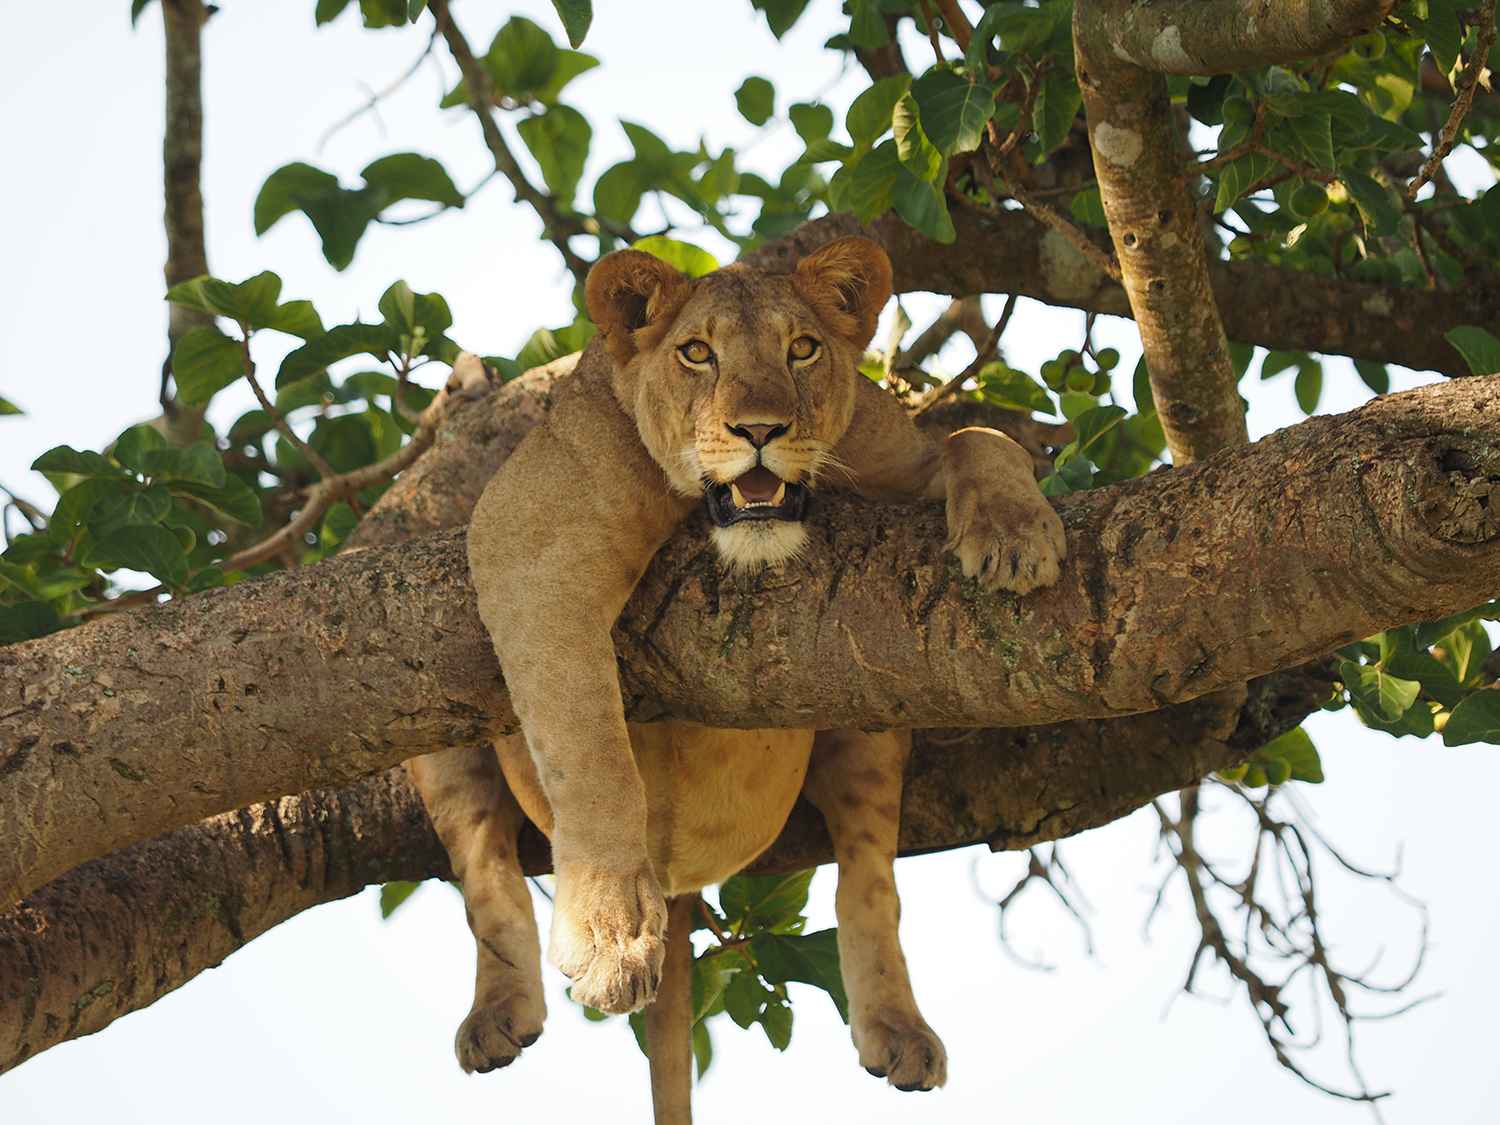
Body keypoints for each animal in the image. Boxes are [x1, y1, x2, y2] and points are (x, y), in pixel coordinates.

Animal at [408, 235, 1068, 1122]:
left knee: (869, 875)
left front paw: (1016, 533)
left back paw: (898, 1029)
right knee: (484, 865)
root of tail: (682, 883)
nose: (761, 428)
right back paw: (497, 1015)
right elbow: (591, 753)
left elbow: (976, 436)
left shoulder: (892, 452)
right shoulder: (527, 540)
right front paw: (613, 936)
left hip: (875, 704)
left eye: (803, 349)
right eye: (697, 353)